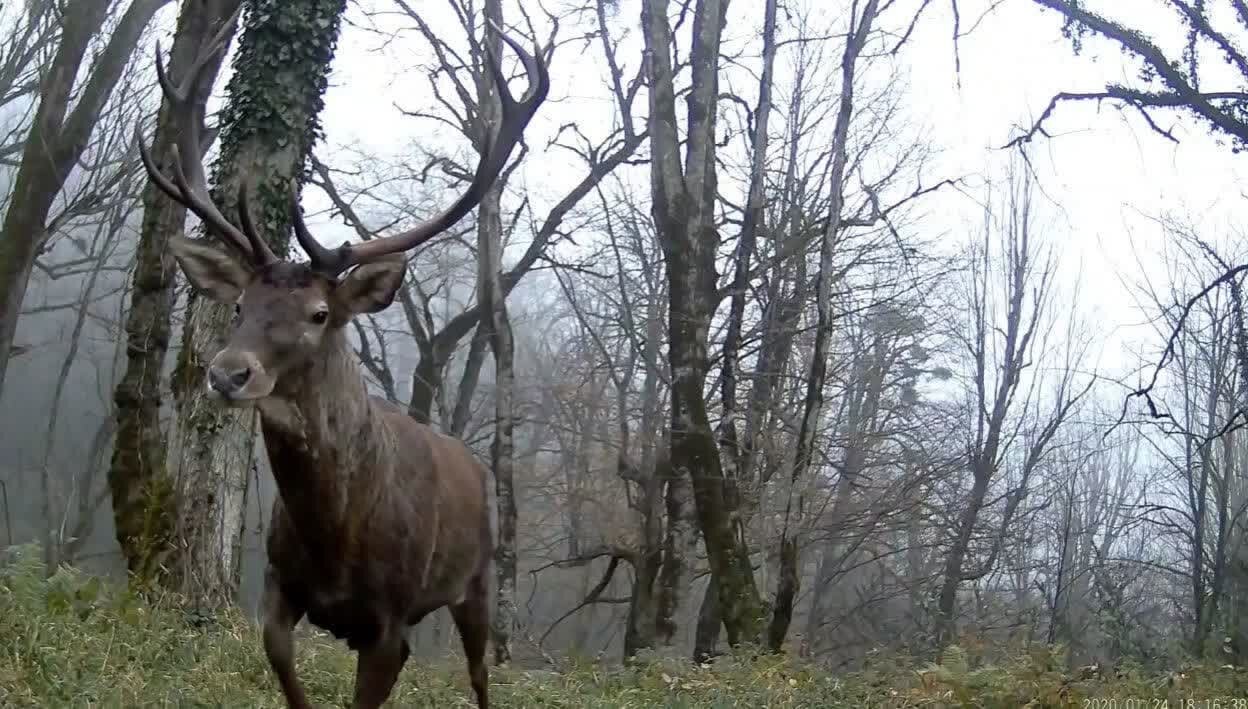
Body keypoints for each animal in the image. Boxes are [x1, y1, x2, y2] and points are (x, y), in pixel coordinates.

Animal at [132, 12, 551, 709]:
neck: (337, 538)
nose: (228, 372)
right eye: (240, 303)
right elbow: (284, 669)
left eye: (319, 314)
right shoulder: (279, 586)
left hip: (479, 580)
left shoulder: (390, 619)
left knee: (480, 673)